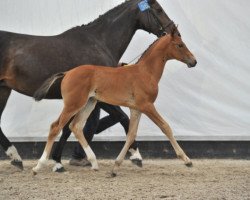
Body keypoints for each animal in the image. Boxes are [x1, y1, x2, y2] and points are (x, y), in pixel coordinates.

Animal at [32, 26, 197, 175]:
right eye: (180, 45)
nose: (194, 61)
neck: (145, 72)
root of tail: (67, 73)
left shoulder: (136, 108)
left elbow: (131, 134)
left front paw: (116, 167)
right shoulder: (147, 106)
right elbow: (165, 127)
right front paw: (187, 160)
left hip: (89, 103)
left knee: (76, 126)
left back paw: (94, 163)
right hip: (73, 104)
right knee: (55, 127)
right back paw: (39, 166)